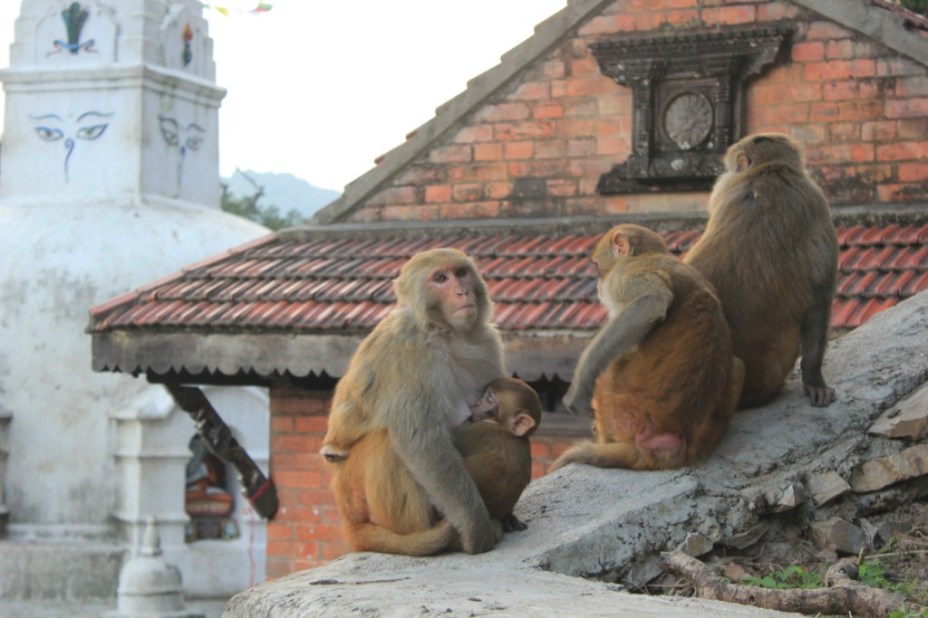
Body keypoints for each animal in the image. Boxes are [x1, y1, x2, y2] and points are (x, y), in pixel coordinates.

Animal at [320, 248, 505, 556]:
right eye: (440, 278)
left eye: (461, 272)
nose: (462, 291)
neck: (445, 333)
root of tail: (348, 519)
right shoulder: (407, 349)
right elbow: (420, 440)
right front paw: (475, 527)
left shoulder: (488, 345)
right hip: (353, 491)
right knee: (385, 442)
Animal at [551, 224, 744, 472]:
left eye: (596, 267)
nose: (597, 286)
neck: (646, 254)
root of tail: (676, 446)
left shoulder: (622, 277)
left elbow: (652, 302)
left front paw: (581, 383)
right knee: (738, 364)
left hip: (627, 415)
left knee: (608, 375)